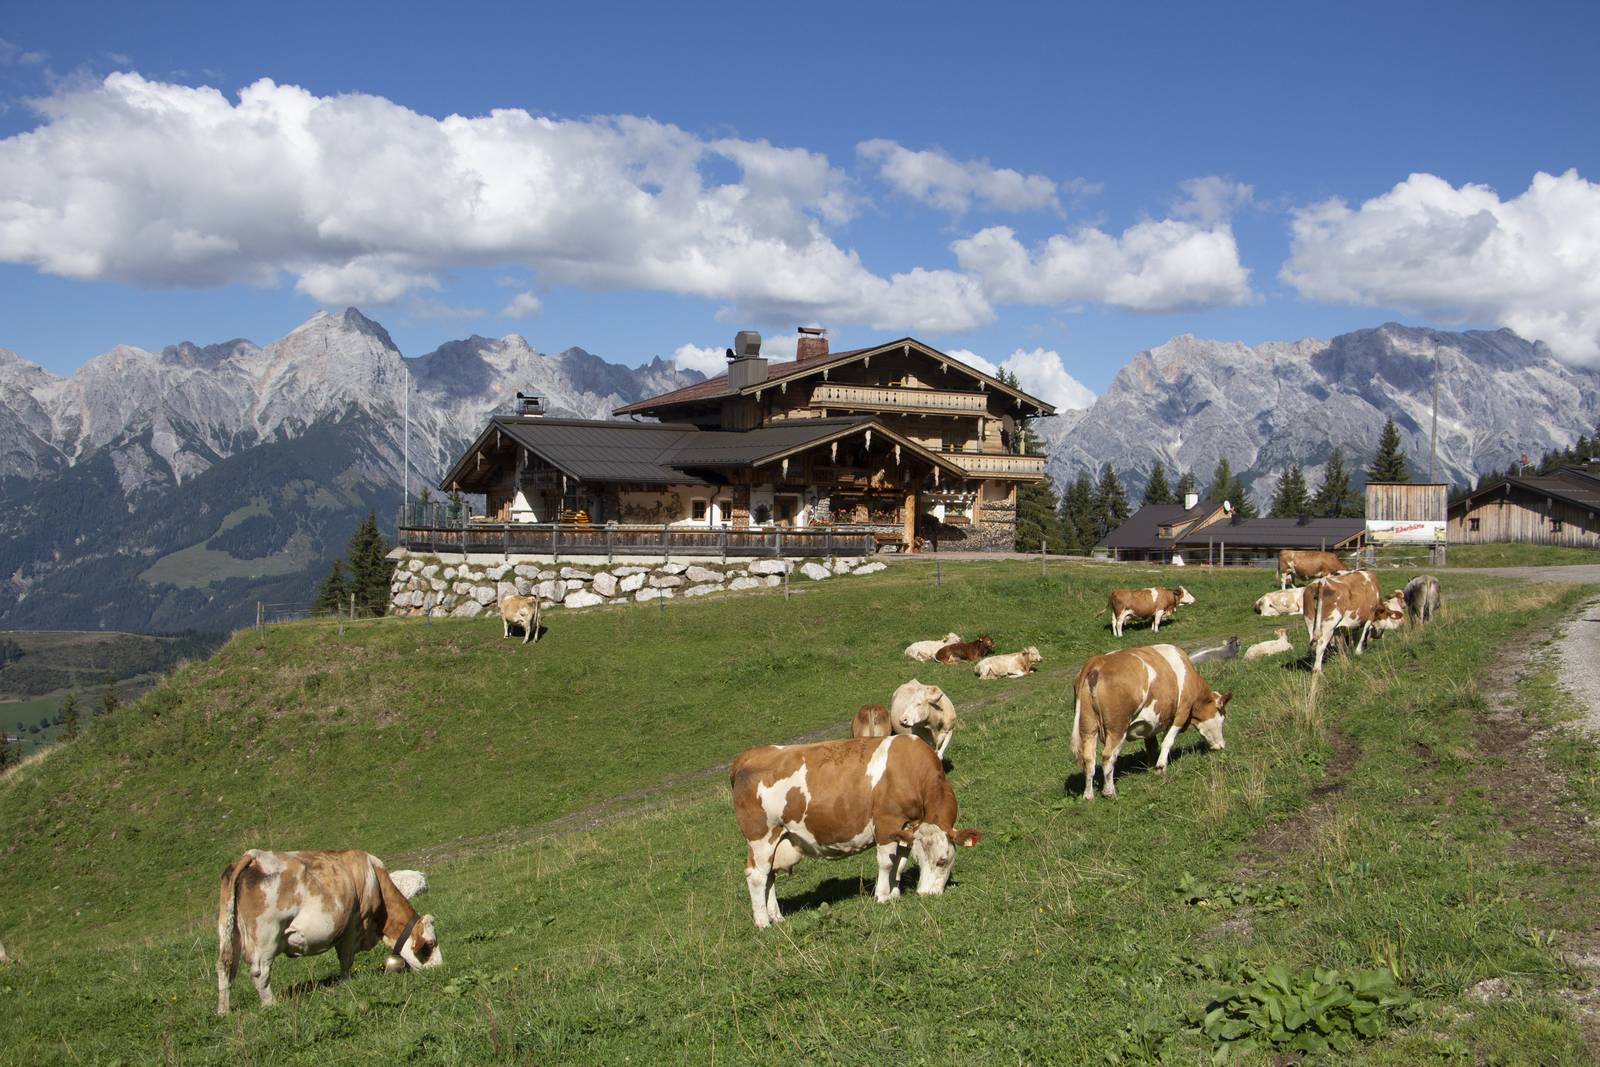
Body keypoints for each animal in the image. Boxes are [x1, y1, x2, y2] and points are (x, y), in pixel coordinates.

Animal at [216, 850, 443, 1014]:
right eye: (430, 945)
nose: (439, 969)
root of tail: (254, 856)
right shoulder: (353, 927)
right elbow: (346, 960)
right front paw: (346, 983)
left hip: (229, 933)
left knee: (225, 966)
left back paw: (223, 1011)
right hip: (266, 936)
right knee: (260, 971)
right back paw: (271, 1004)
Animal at [730, 736, 981, 929]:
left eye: (941, 861)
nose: (925, 895)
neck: (909, 768)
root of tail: (749, 754)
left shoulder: (906, 828)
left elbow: (900, 861)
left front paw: (895, 893)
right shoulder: (886, 822)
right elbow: (886, 862)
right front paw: (882, 896)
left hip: (776, 839)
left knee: (769, 876)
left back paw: (777, 917)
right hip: (761, 837)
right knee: (756, 876)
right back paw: (763, 922)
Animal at [1072, 644, 1232, 800]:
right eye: (1222, 718)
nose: (1221, 746)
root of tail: (1097, 661)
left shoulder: (1149, 724)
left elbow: (1152, 746)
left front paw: (1150, 766)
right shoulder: (1183, 711)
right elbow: (1168, 741)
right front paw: (1160, 767)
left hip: (1088, 727)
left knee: (1088, 758)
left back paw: (1088, 795)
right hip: (1117, 728)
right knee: (1108, 756)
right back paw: (1109, 792)